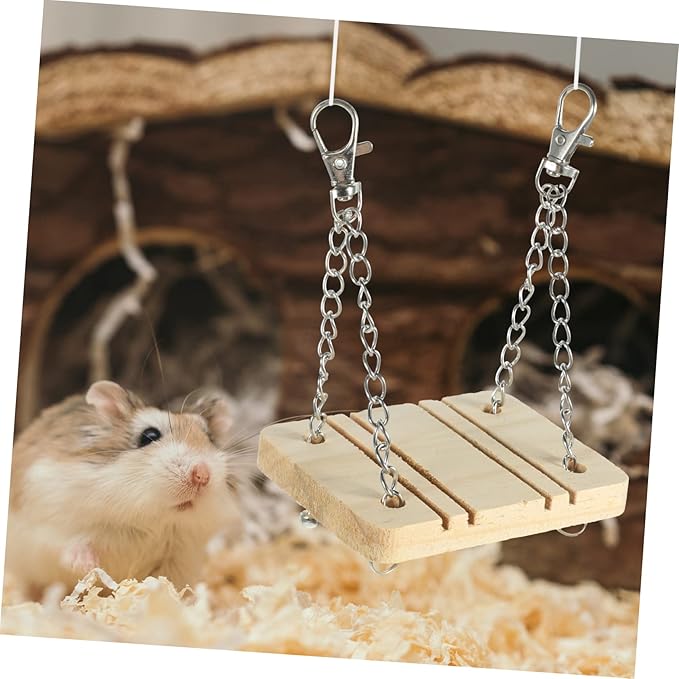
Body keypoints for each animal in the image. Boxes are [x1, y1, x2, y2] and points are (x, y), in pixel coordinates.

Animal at [4, 380, 244, 599]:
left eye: (210, 438)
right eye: (149, 436)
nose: (202, 475)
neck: (150, 519)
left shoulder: (180, 557)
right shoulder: (49, 520)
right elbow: (70, 543)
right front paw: (88, 566)